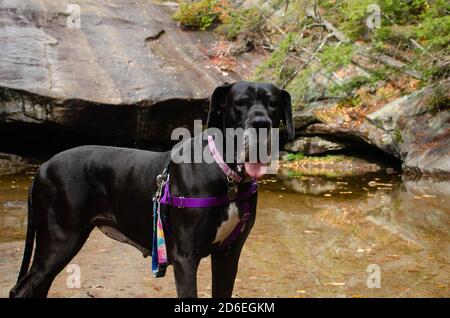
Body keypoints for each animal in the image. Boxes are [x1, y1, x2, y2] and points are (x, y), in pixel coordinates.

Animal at [9, 80, 296, 298]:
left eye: (272, 103)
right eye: (240, 103)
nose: (261, 124)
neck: (226, 175)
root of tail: (42, 167)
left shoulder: (228, 255)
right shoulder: (185, 257)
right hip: (60, 240)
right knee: (21, 289)